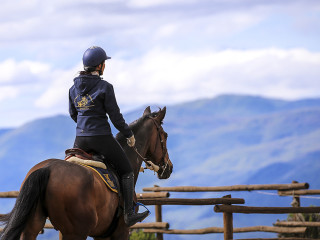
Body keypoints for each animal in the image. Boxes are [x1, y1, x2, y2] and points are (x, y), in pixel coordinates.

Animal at [0, 107, 172, 240]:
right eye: (165, 135)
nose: (168, 167)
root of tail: (47, 168)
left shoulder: (101, 235)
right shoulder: (121, 232)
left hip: (33, 227)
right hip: (76, 232)